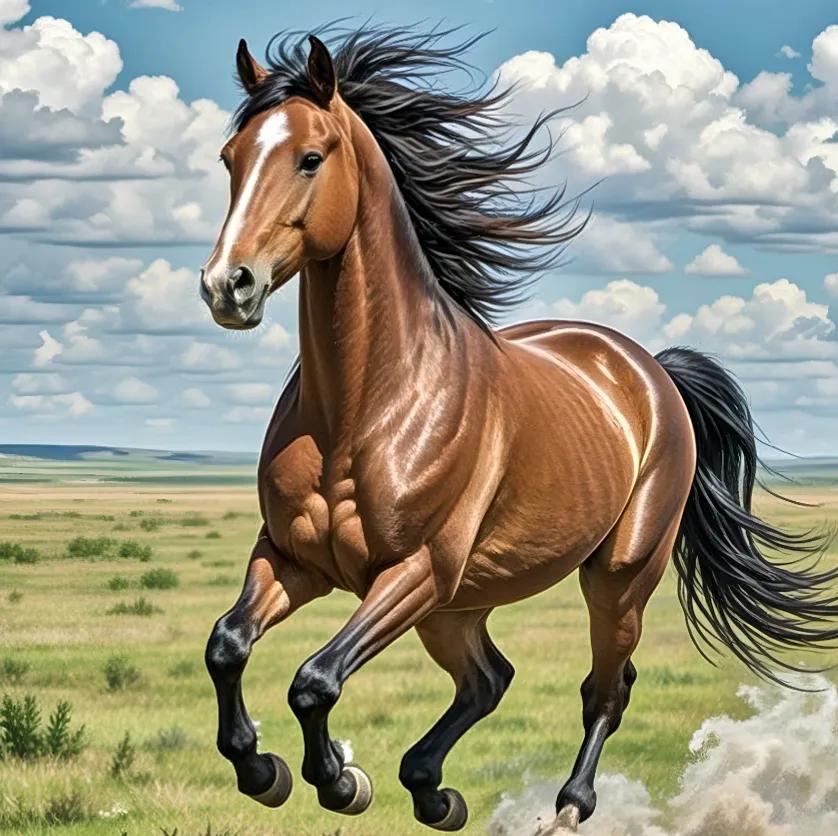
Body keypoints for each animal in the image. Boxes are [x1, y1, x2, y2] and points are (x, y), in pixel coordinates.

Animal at [199, 25, 837, 832]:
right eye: (231, 158)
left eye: (311, 157)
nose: (227, 285)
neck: (363, 405)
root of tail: (647, 369)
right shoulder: (291, 556)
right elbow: (228, 645)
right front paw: (264, 769)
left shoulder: (414, 572)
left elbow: (315, 679)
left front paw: (338, 780)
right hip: (460, 605)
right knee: (488, 679)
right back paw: (431, 789)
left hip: (615, 577)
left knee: (605, 688)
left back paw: (562, 807)